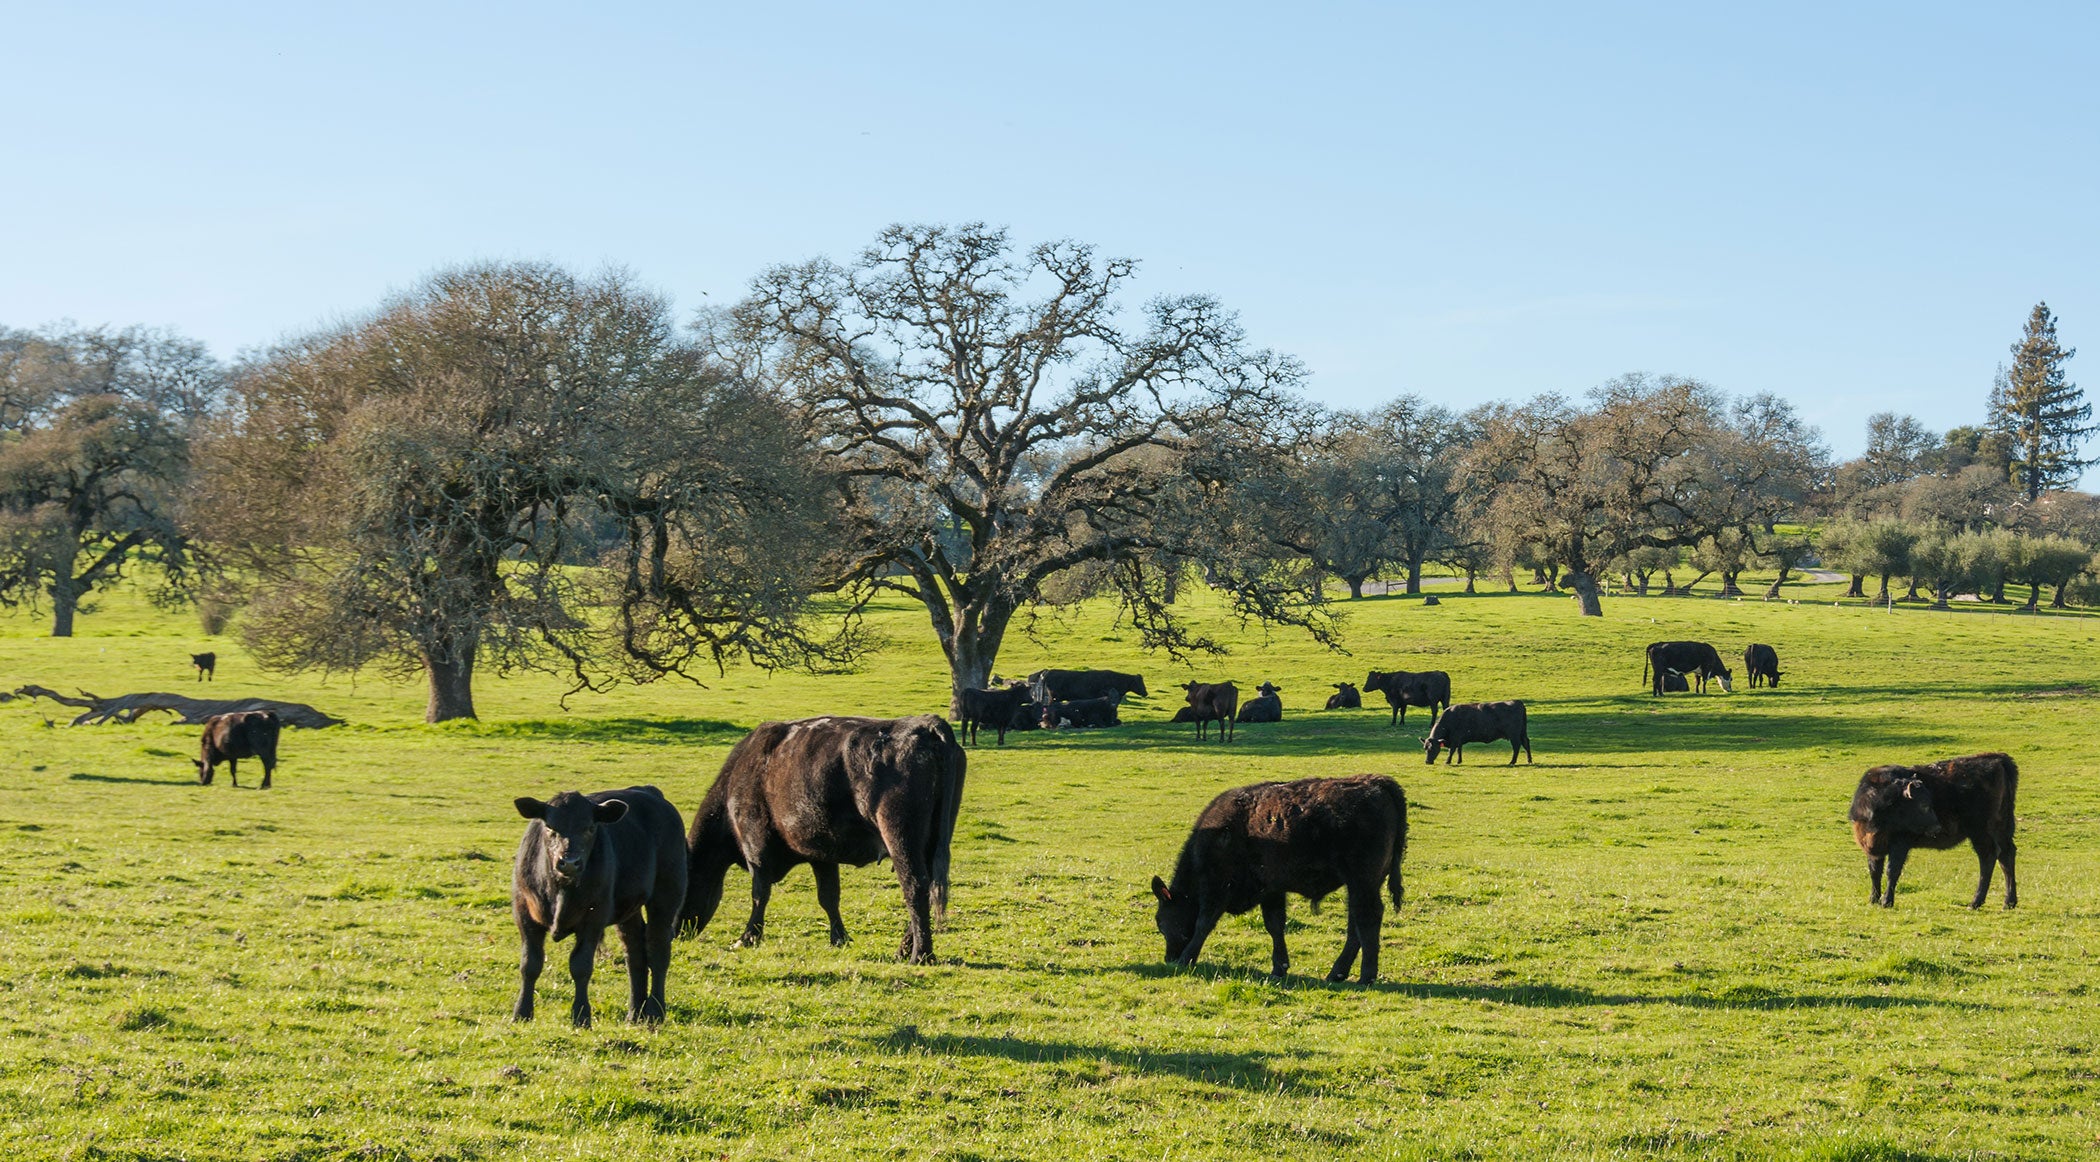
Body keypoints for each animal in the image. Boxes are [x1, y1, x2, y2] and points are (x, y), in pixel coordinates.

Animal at [512, 786, 687, 1027]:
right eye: (550, 827)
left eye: (590, 828)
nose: (569, 862)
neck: (562, 889)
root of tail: (649, 791)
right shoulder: (525, 913)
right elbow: (530, 964)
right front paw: (522, 1013)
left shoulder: (594, 918)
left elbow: (581, 966)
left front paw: (581, 1015)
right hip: (629, 911)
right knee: (634, 952)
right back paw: (635, 1012)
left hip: (666, 896)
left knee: (657, 949)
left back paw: (655, 1011)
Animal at [683, 716, 966, 964]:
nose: (679, 932)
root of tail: (926, 725)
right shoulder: (821, 854)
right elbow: (829, 896)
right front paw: (839, 937)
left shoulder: (756, 848)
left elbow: (759, 894)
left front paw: (748, 937)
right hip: (932, 840)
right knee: (928, 887)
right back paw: (902, 952)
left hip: (899, 836)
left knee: (915, 887)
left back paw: (920, 955)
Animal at [1150, 774, 1407, 984]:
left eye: (1160, 922)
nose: (1168, 958)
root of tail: (1377, 782)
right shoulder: (1271, 890)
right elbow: (1275, 925)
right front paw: (1279, 968)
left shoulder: (1218, 888)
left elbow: (1204, 923)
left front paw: (1186, 959)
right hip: (1359, 886)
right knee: (1355, 924)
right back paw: (1337, 973)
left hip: (1362, 882)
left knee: (1367, 918)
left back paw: (1366, 977)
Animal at [1849, 753, 2018, 910]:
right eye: (1924, 805)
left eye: (1929, 803)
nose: (1937, 827)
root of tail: (1997, 759)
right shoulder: (1872, 847)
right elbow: (1874, 872)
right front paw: (1873, 899)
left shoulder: (1900, 844)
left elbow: (1892, 871)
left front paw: (1887, 901)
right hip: (2002, 829)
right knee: (2006, 856)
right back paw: (2009, 902)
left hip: (1981, 832)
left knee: (1988, 857)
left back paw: (1975, 902)